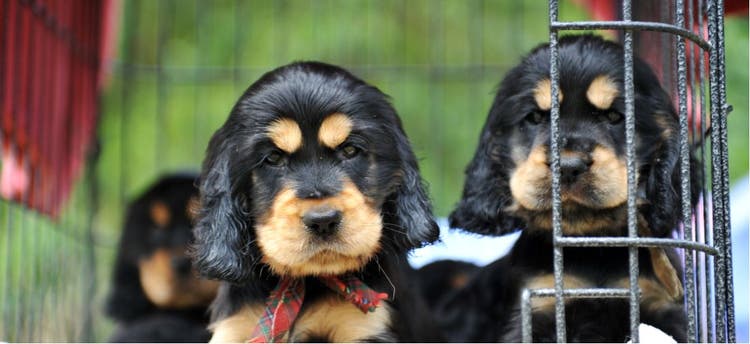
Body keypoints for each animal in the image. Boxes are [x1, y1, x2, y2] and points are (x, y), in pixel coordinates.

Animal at [440, 34, 692, 342]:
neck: (590, 247)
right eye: (535, 118)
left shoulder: (660, 304)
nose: (569, 166)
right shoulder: (537, 306)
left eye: (614, 117)